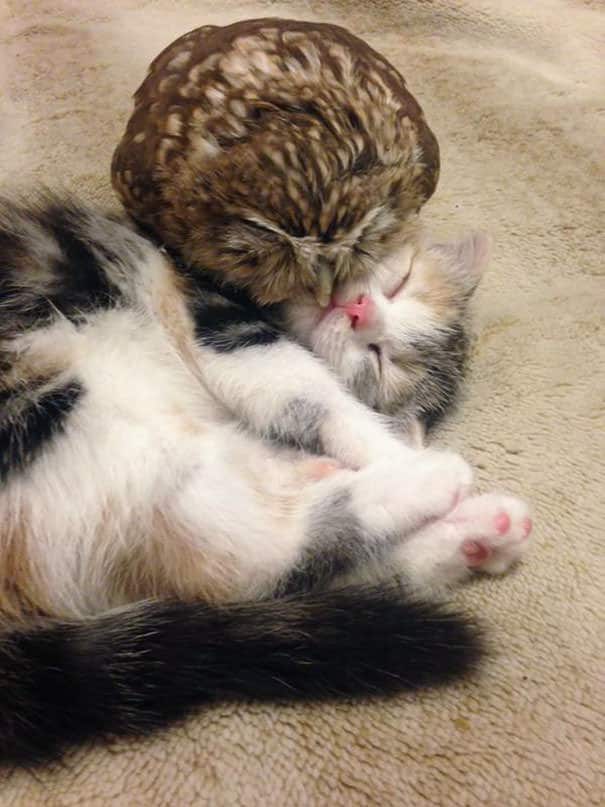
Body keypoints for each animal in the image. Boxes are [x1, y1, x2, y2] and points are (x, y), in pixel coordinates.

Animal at [0, 196, 528, 764]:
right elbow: (310, 392)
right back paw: (432, 483)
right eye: (401, 282)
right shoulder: (221, 315)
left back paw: (474, 530)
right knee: (239, 551)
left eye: (380, 359)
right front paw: (395, 450)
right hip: (61, 411)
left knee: (243, 563)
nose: (360, 311)